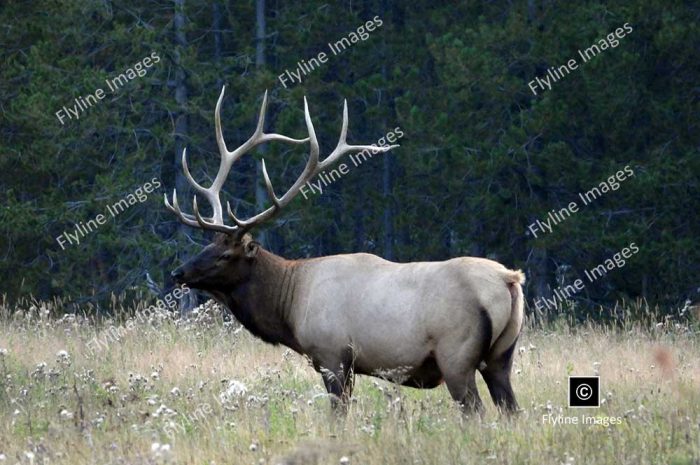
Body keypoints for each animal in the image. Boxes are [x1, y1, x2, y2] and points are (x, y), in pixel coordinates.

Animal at [165, 88, 524, 414]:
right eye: (208, 245)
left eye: (226, 255)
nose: (178, 273)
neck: (291, 305)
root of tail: (509, 279)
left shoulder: (332, 354)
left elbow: (339, 413)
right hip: (500, 357)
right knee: (511, 411)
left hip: (456, 355)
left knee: (476, 412)